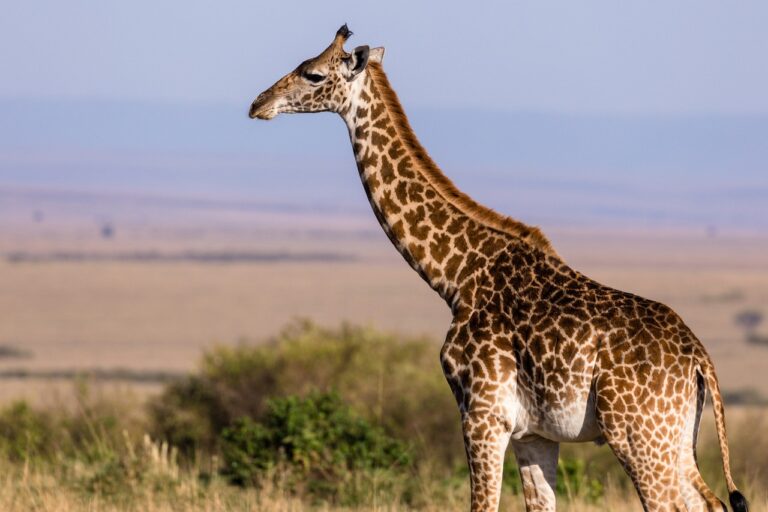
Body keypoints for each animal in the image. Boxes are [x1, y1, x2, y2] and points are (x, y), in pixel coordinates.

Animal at [247, 25, 749, 512]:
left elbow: (481, 504)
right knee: (710, 503)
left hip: (639, 436)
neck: (455, 276)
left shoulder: (482, 415)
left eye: (313, 74)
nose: (258, 104)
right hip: (675, 439)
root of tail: (700, 359)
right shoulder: (534, 433)